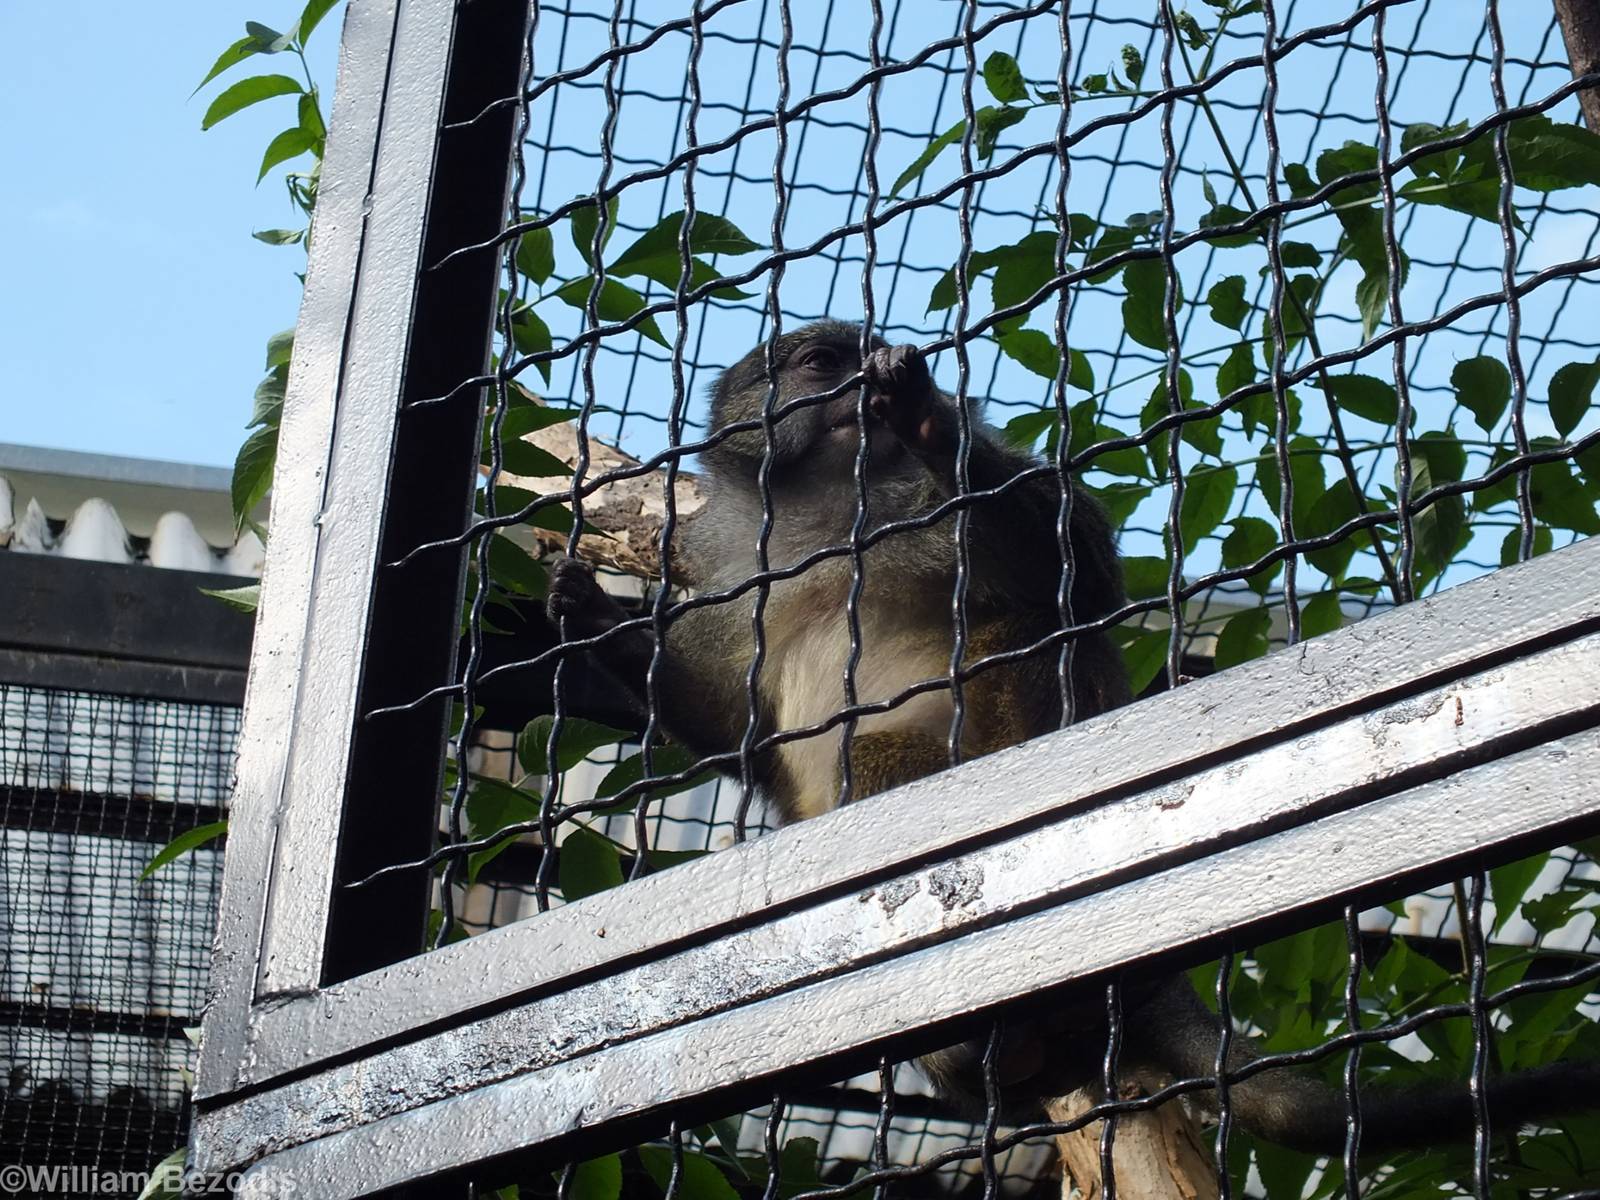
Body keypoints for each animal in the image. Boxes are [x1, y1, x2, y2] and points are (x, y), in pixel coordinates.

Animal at [547, 320, 1600, 1158]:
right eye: (816, 364)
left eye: (856, 359)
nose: (857, 390)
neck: (827, 521)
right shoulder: (726, 564)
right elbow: (742, 733)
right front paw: (592, 627)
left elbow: (1076, 578)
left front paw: (930, 423)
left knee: (981, 668)